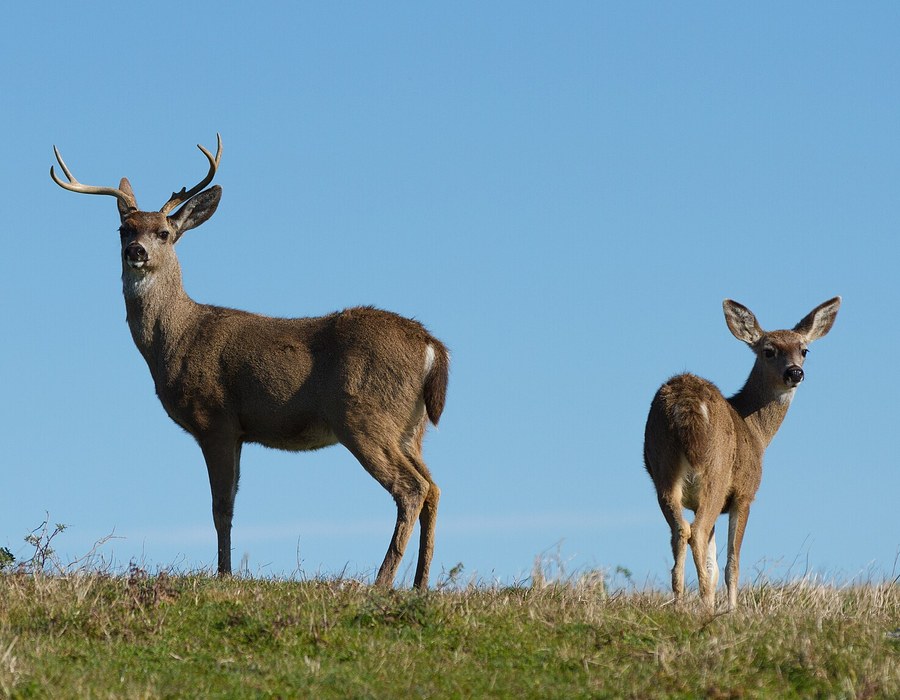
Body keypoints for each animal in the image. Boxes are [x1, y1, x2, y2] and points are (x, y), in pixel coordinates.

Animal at [50, 135, 449, 588]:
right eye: (123, 229)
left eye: (164, 233)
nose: (136, 251)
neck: (178, 338)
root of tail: (431, 346)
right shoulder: (240, 431)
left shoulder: (216, 418)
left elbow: (221, 507)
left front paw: (223, 575)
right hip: (410, 427)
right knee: (434, 488)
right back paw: (419, 584)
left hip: (364, 414)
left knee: (411, 488)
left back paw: (381, 582)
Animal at [643, 297, 840, 611]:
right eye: (768, 351)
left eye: (804, 350)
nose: (795, 372)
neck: (757, 433)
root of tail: (685, 404)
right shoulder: (745, 493)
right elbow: (731, 561)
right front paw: (732, 609)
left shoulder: (695, 500)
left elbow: (713, 560)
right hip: (716, 470)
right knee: (696, 532)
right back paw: (704, 605)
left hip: (662, 469)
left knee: (681, 530)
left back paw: (680, 603)